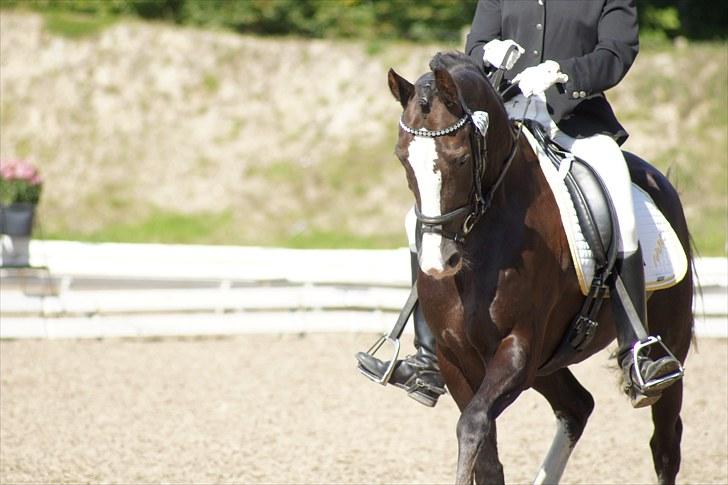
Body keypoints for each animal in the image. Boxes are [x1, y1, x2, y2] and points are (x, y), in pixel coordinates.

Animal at [387, 51, 693, 485]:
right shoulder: (455, 357)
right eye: (403, 159)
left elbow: (473, 424)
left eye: (460, 158)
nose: (437, 261)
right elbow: (486, 456)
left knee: (665, 445)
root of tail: (659, 181)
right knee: (577, 406)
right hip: (548, 363)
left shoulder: (519, 349)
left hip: (670, 341)